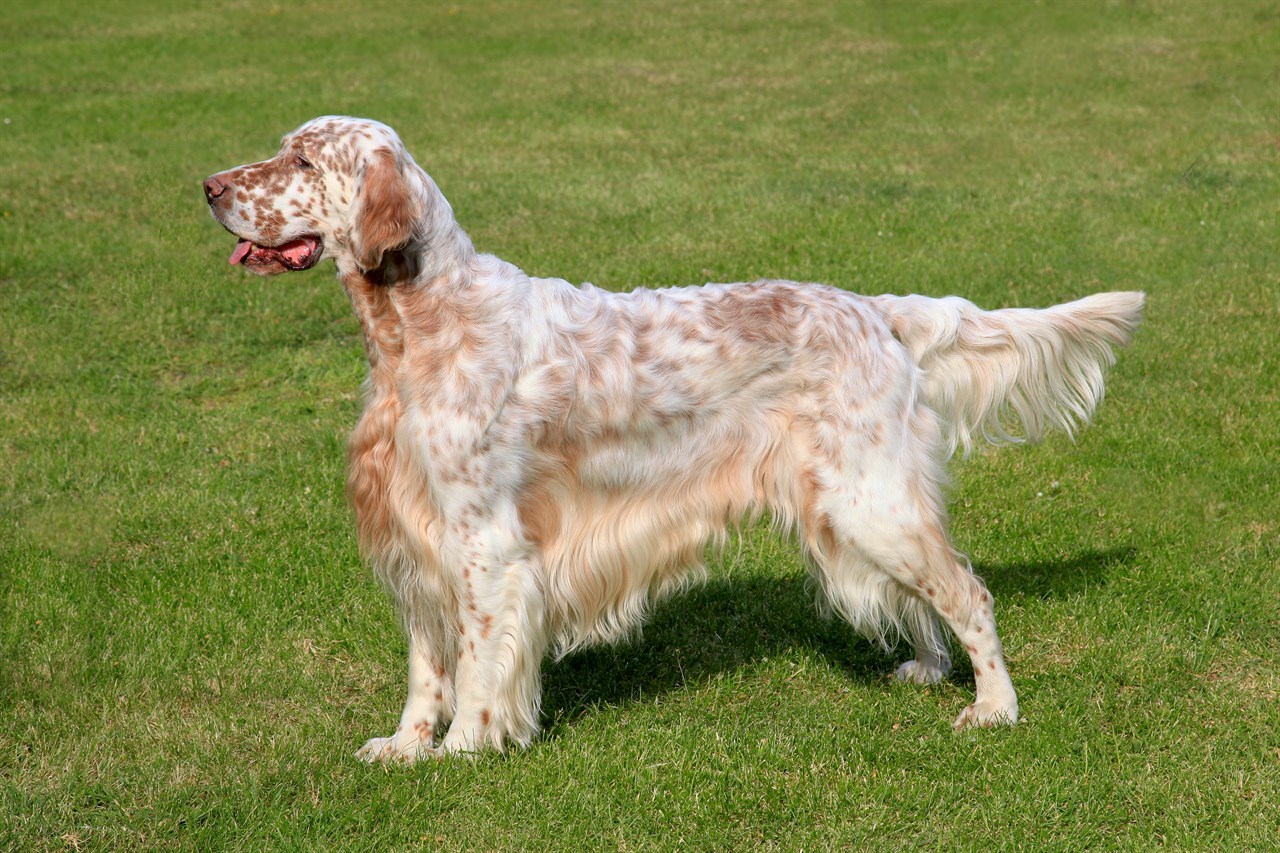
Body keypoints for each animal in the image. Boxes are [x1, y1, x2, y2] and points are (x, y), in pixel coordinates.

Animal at [204, 114, 1146, 758]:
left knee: (969, 592)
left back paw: (994, 707)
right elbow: (425, 665)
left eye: (300, 160)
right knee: (926, 596)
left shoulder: (481, 542)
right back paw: (926, 667)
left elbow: (475, 663)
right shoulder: (416, 533)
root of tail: (877, 310)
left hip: (867, 497)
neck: (420, 325)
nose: (208, 186)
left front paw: (464, 748)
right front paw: (405, 747)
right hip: (851, 506)